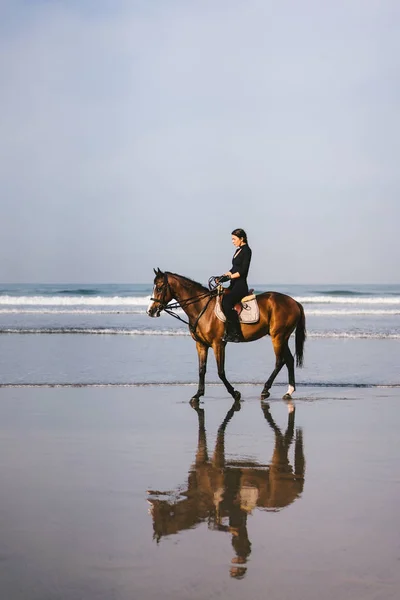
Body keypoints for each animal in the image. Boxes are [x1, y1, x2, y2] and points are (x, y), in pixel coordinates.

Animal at [147, 272, 306, 404]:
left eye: (160, 288)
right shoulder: (201, 345)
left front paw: (235, 393)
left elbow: (220, 372)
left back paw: (265, 390)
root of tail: (294, 302)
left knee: (279, 361)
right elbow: (201, 370)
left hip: (278, 337)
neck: (202, 308)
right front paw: (197, 395)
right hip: (283, 337)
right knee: (289, 360)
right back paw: (289, 392)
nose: (150, 311)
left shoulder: (218, 344)